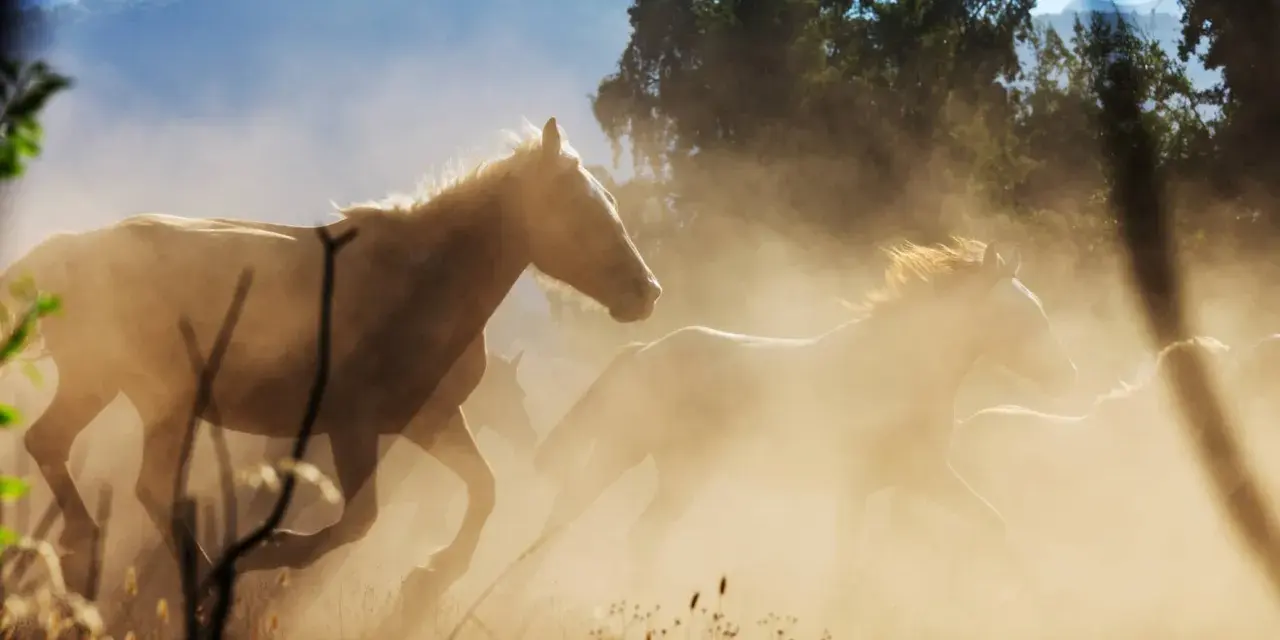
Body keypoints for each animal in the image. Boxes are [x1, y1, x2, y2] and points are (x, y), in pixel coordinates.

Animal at [10, 117, 661, 600]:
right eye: (578, 208)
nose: (648, 292)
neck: (419, 286)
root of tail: (72, 252)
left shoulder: (430, 421)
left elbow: (485, 489)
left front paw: (433, 572)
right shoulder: (352, 426)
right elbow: (359, 519)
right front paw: (272, 550)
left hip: (110, 388)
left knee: (57, 447)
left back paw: (86, 547)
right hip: (156, 398)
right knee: (139, 482)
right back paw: (187, 570)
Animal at [526, 238, 1077, 611]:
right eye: (1025, 318)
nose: (1070, 376)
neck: (895, 371)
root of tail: (643, 351)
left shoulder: (922, 478)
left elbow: (993, 524)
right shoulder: (861, 486)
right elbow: (846, 566)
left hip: (681, 475)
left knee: (638, 534)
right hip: (623, 449)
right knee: (565, 516)